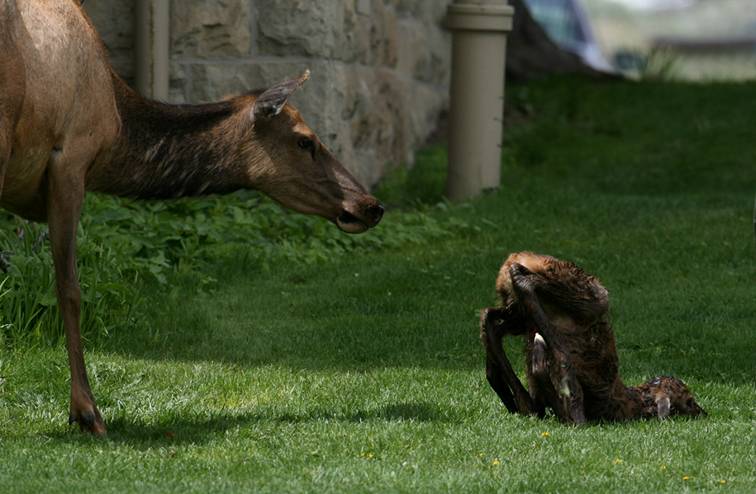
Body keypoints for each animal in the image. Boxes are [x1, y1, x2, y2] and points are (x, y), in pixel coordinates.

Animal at [1, 0, 384, 434]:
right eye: (306, 141)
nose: (370, 205)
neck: (116, 129)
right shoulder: (70, 159)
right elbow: (70, 289)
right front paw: (86, 412)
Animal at [482, 253, 704, 422]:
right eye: (689, 401)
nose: (704, 411)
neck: (637, 400)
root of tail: (516, 258)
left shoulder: (542, 406)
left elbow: (535, 403)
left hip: (518, 313)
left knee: (491, 319)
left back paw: (501, 385)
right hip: (592, 296)